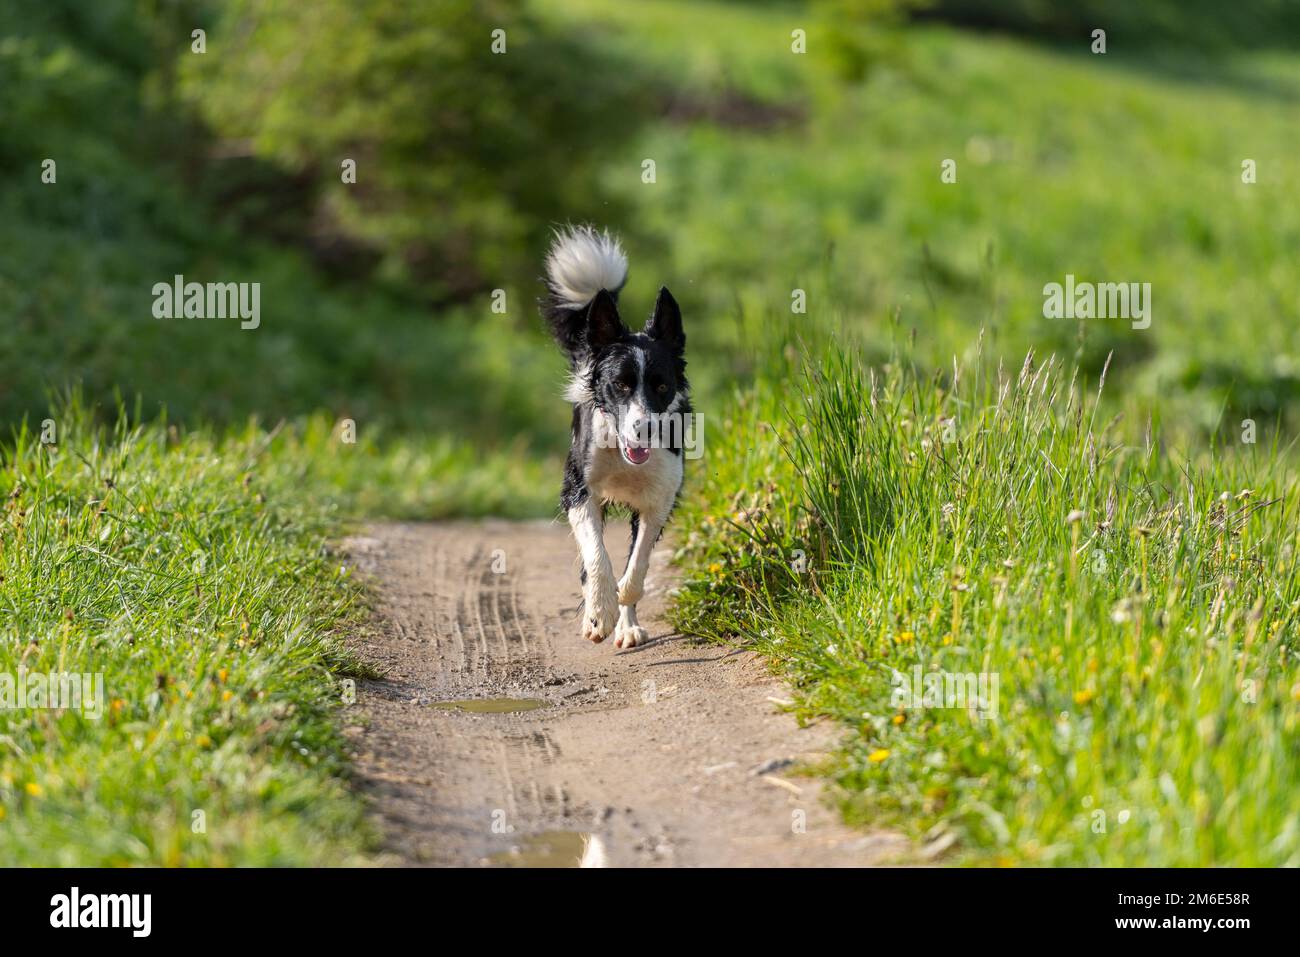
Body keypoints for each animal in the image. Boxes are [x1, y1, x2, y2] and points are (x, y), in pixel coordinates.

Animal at [538, 223, 691, 650]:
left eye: (661, 386)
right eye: (620, 385)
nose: (644, 428)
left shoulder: (660, 499)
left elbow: (636, 567)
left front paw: (622, 609)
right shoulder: (577, 491)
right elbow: (596, 559)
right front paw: (600, 613)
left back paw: (628, 626)